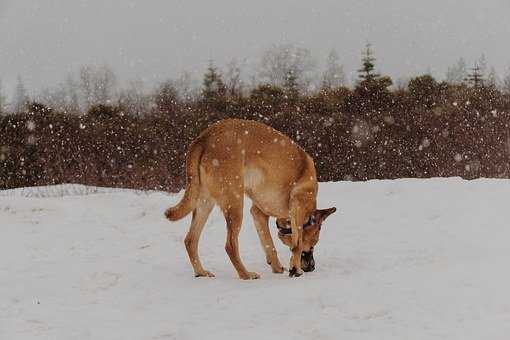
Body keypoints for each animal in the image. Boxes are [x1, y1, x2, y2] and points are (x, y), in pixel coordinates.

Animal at [165, 117, 336, 278]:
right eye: (313, 245)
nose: (312, 267)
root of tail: (204, 137)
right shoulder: (298, 206)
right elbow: (297, 244)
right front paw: (295, 269)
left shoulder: (258, 213)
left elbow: (269, 244)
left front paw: (276, 266)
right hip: (235, 203)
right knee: (230, 245)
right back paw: (246, 274)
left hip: (205, 203)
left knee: (190, 240)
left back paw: (201, 272)